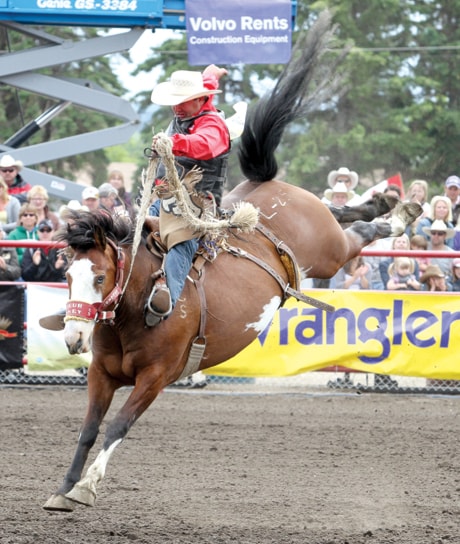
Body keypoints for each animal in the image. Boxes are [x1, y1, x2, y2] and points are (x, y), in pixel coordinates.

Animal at [43, 14, 420, 512]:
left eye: (101, 275)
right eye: (67, 274)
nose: (72, 336)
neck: (136, 305)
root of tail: (266, 192)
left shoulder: (156, 378)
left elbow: (119, 425)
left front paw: (86, 487)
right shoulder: (102, 374)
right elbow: (88, 429)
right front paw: (63, 488)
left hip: (328, 251)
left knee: (356, 234)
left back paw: (400, 212)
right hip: (321, 237)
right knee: (345, 214)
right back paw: (383, 200)